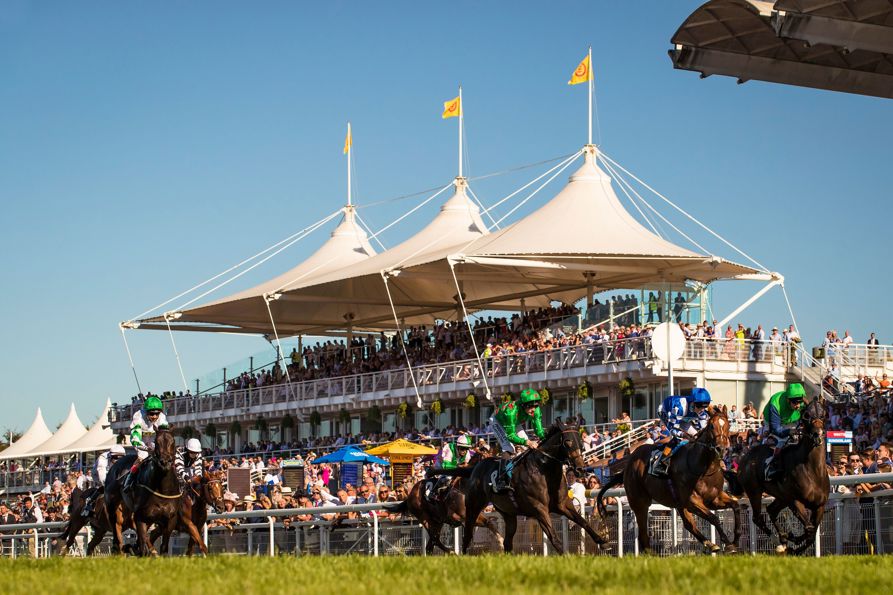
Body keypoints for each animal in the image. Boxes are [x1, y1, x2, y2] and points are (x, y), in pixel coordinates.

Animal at [104, 428, 181, 560]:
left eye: (173, 441)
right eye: (157, 442)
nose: (165, 462)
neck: (162, 489)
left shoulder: (170, 518)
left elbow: (163, 545)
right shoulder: (140, 516)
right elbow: (143, 542)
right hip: (112, 506)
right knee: (116, 527)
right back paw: (118, 548)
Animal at [442, 422, 608, 556]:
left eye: (581, 443)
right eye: (567, 442)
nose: (580, 469)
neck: (545, 470)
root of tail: (475, 468)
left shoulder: (563, 504)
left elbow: (583, 522)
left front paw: (602, 541)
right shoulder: (539, 509)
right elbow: (554, 537)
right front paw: (566, 557)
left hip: (508, 513)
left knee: (507, 541)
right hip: (472, 507)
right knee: (467, 534)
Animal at [596, 406, 744, 556]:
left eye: (728, 425)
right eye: (712, 426)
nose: (722, 448)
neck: (704, 469)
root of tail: (628, 463)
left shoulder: (713, 498)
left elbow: (736, 506)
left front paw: (735, 540)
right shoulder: (691, 501)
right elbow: (714, 518)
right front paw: (728, 543)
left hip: (676, 504)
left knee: (688, 524)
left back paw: (709, 543)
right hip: (640, 502)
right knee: (644, 534)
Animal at [724, 398, 828, 556]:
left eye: (823, 414)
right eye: (806, 415)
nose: (818, 434)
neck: (813, 470)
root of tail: (744, 457)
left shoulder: (819, 505)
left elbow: (811, 533)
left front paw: (793, 542)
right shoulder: (795, 501)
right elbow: (809, 529)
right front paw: (793, 542)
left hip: (781, 496)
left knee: (772, 510)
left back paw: (784, 540)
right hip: (754, 491)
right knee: (758, 517)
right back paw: (779, 542)